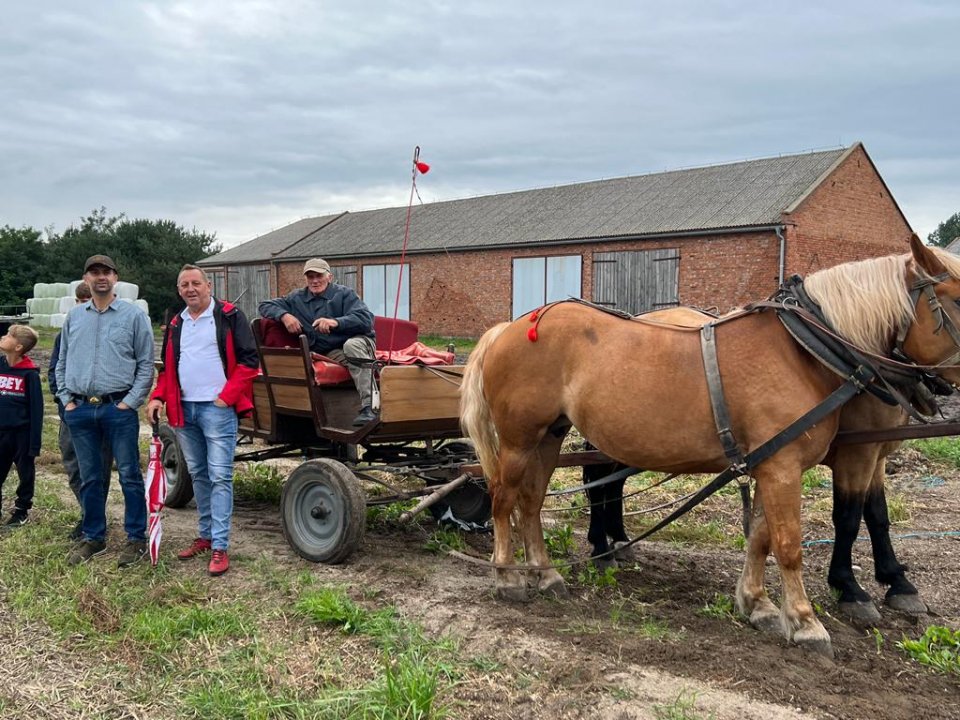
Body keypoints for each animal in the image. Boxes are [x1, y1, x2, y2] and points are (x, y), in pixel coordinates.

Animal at [464, 238, 960, 660]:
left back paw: (547, 571)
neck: (803, 349)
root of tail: (510, 328)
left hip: (550, 435)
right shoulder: (791, 466)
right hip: (518, 439)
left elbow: (761, 536)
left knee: (532, 502)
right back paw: (507, 575)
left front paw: (757, 603)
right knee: (504, 498)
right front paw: (806, 621)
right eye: (956, 299)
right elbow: (792, 541)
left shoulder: (773, 462)